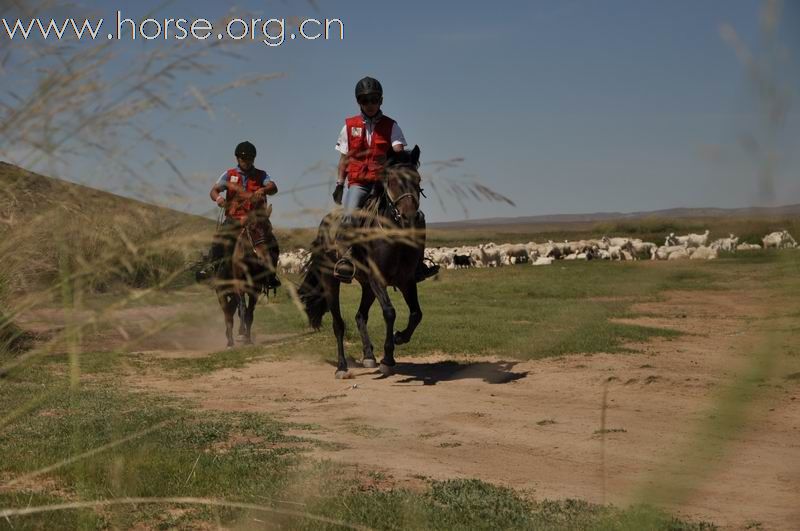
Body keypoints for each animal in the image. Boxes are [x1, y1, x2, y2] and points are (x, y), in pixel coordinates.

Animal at [214, 197, 280, 348]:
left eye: (270, 228)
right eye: (253, 229)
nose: (264, 258)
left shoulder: (255, 288)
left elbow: (249, 313)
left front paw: (247, 338)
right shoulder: (238, 285)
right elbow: (243, 309)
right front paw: (241, 335)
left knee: (232, 310)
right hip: (222, 292)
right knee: (228, 314)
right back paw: (230, 340)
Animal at [298, 145, 424, 378]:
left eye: (418, 179)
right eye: (392, 181)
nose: (410, 217)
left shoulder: (407, 281)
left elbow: (416, 314)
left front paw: (399, 337)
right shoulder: (378, 279)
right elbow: (390, 313)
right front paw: (388, 359)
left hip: (366, 286)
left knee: (360, 316)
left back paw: (368, 356)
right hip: (332, 281)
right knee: (338, 324)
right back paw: (342, 367)